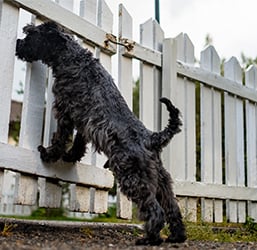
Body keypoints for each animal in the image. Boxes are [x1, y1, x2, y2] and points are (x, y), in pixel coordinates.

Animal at [16, 22, 186, 246]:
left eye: (31, 34)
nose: (18, 43)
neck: (71, 56)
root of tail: (151, 138)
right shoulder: (83, 122)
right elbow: (79, 143)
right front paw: (70, 157)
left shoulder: (64, 111)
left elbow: (61, 138)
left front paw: (48, 154)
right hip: (162, 180)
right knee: (172, 208)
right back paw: (177, 236)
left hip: (133, 178)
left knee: (154, 210)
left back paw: (149, 238)